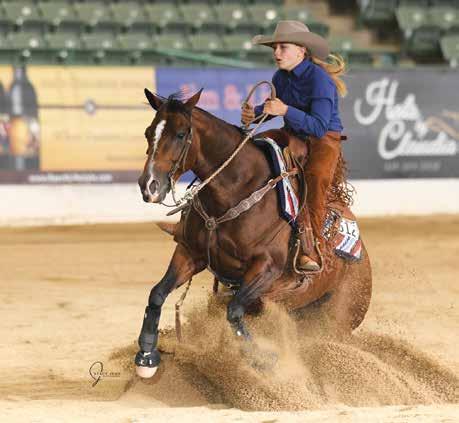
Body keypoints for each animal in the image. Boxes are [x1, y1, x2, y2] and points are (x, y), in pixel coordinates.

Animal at [134, 88, 372, 378]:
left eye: (180, 134)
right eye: (149, 132)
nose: (149, 185)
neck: (237, 188)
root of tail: (362, 256)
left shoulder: (266, 269)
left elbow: (234, 310)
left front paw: (261, 358)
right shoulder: (190, 253)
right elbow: (157, 293)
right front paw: (147, 356)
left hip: (340, 318)